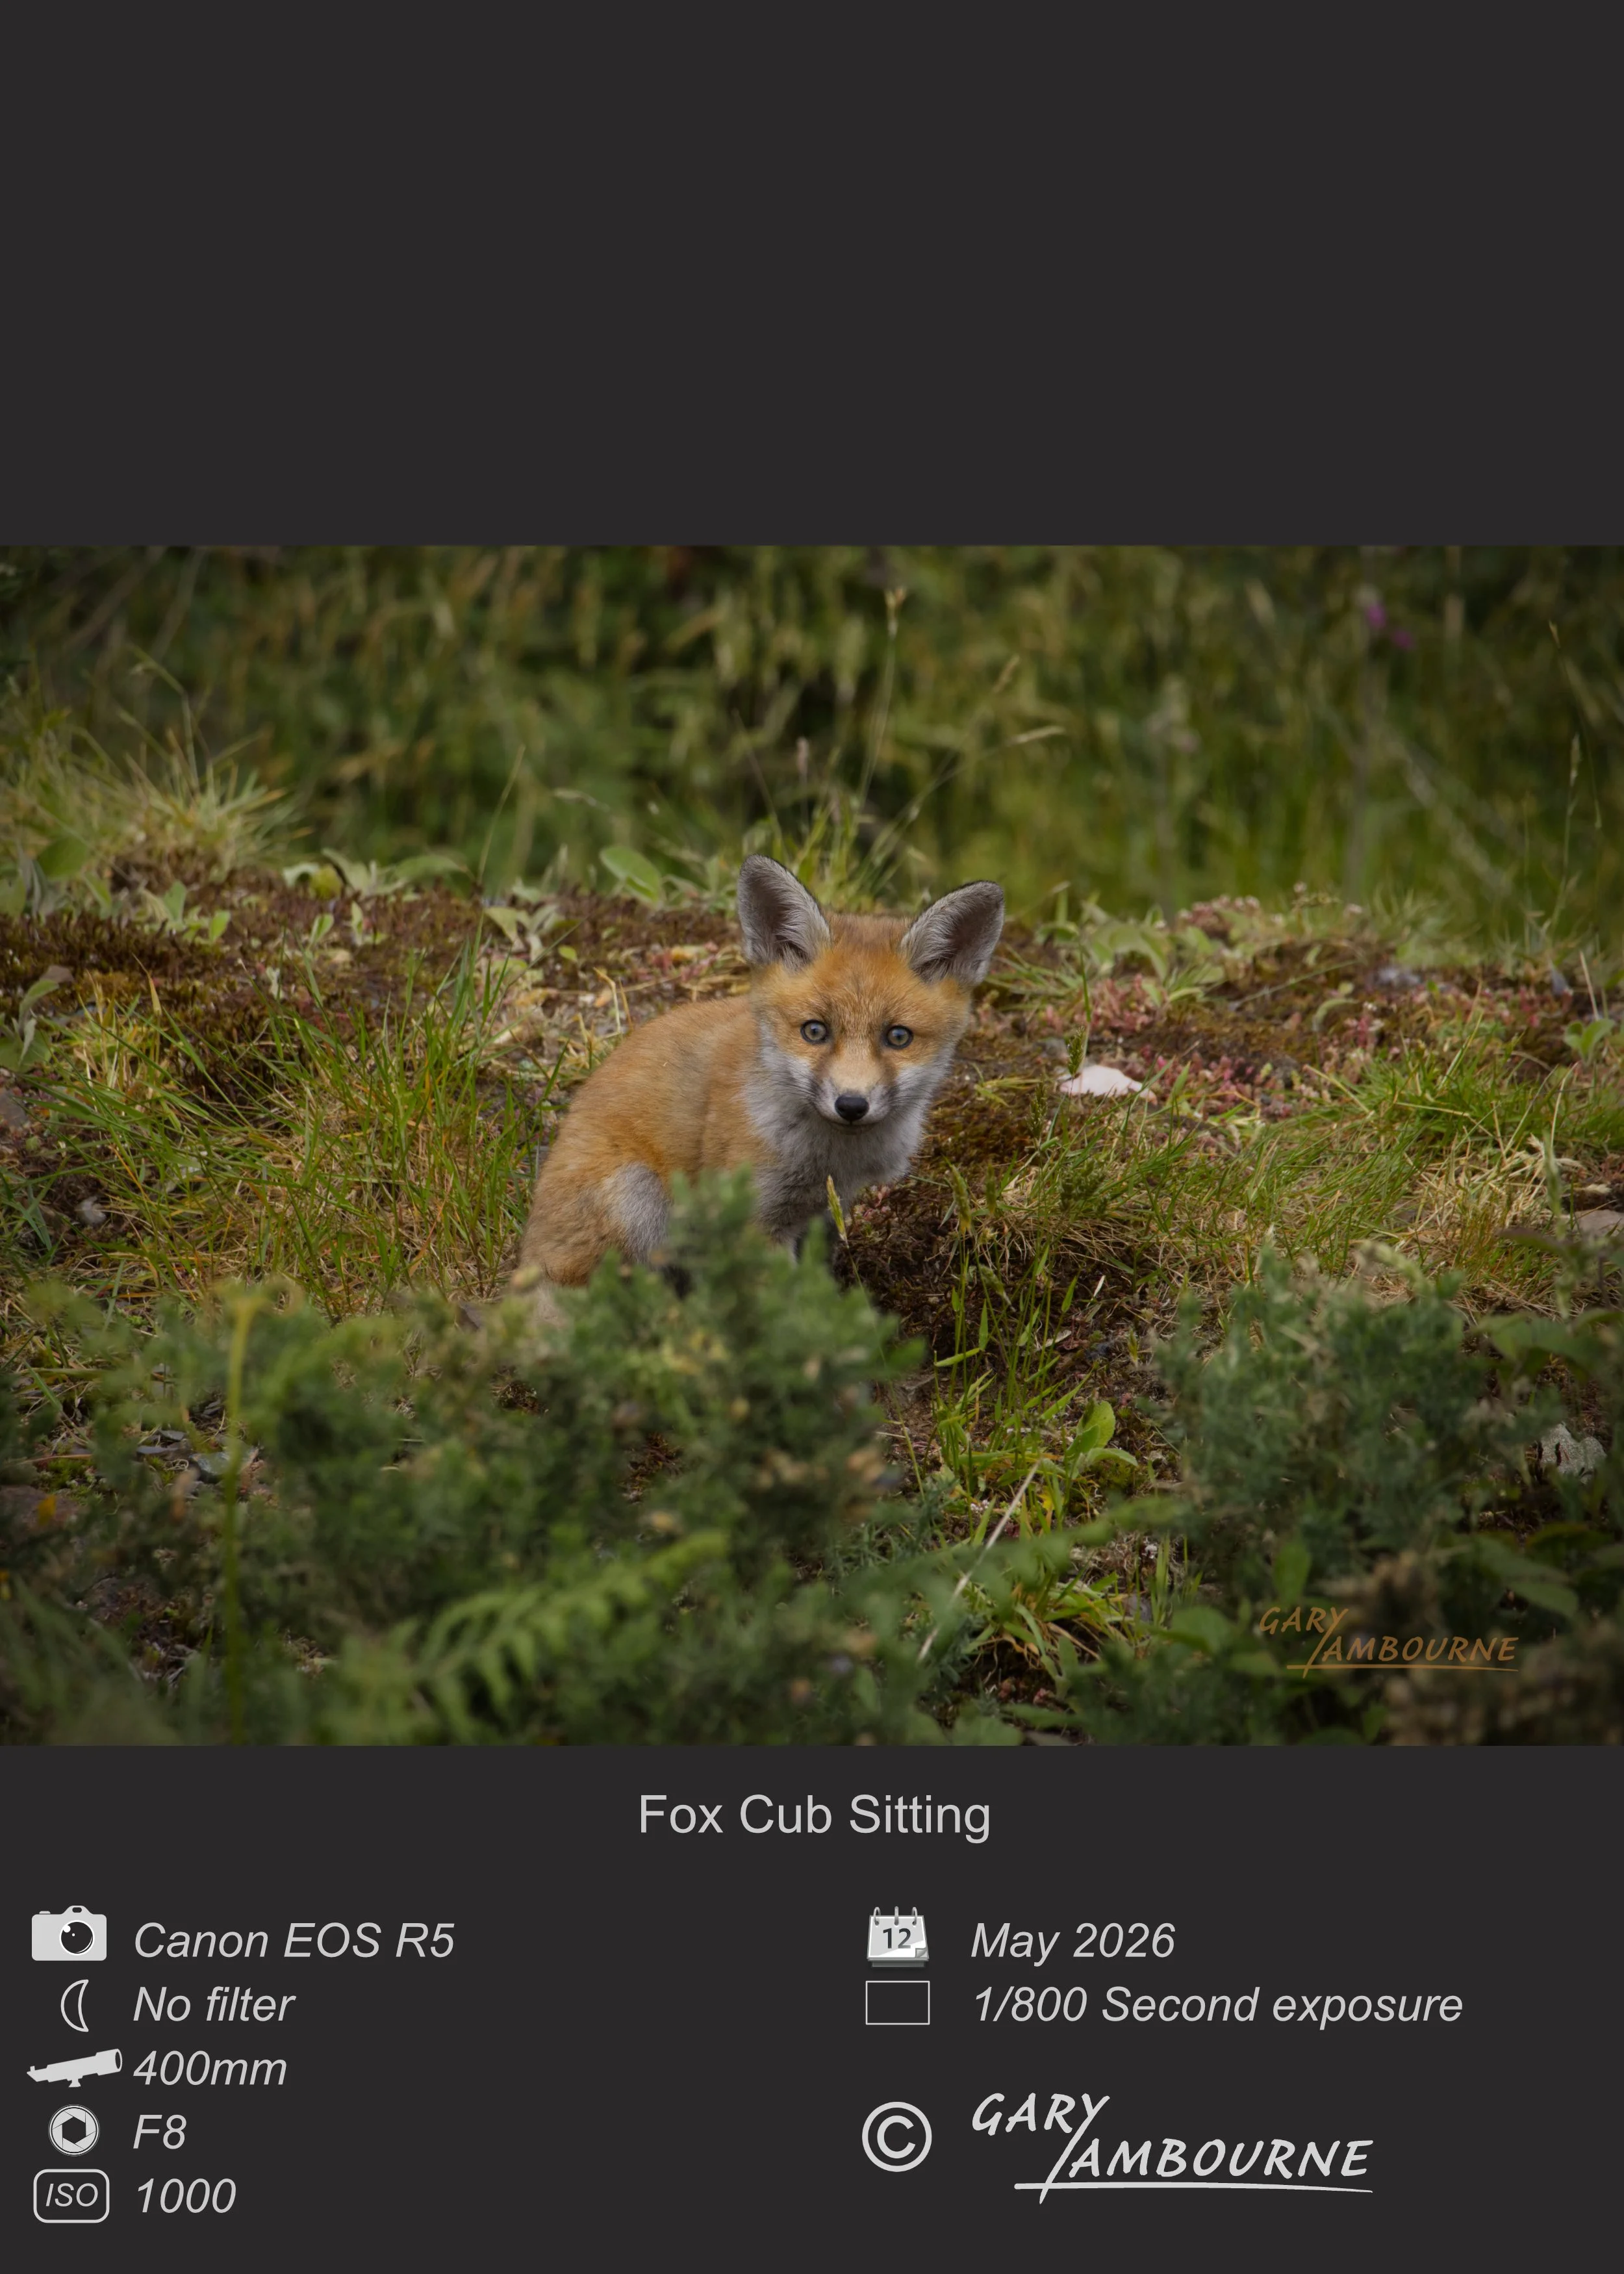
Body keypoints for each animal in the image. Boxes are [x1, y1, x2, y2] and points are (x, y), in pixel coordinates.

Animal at [513, 854, 1004, 1310]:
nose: (851, 1105)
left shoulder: (824, 1212)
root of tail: (525, 1261)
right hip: (640, 1200)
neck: (828, 1159)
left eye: (898, 1037)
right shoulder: (755, 1219)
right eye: (815, 1031)